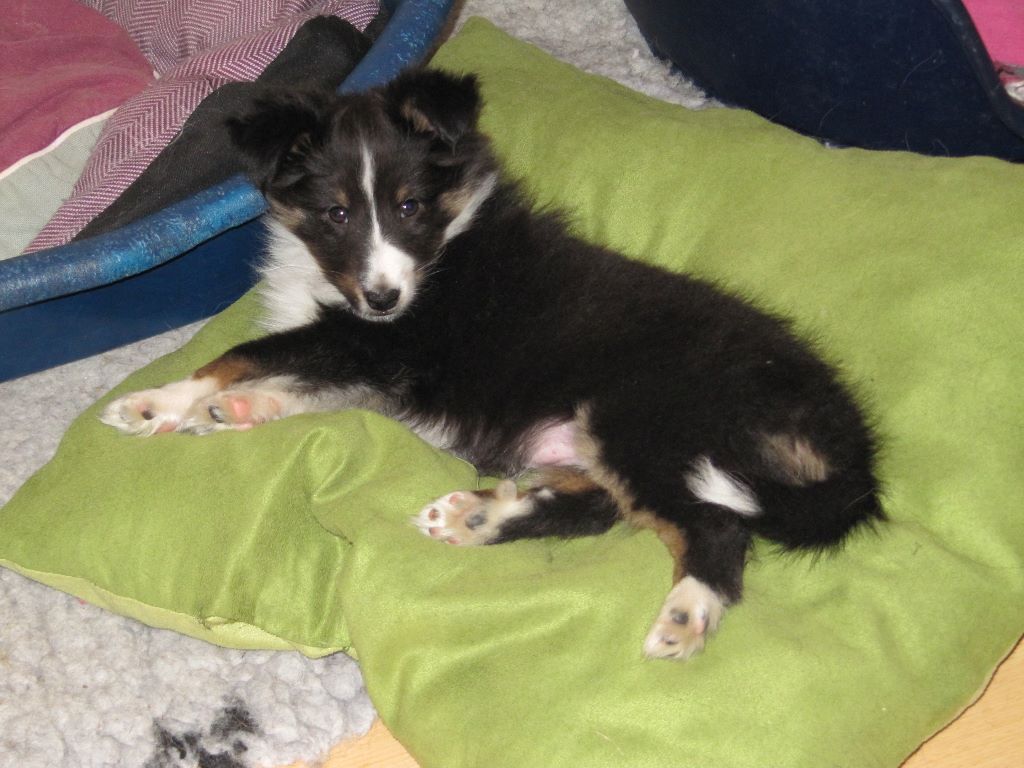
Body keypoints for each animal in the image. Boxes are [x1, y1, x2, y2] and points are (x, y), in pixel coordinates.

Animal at [101, 69, 883, 660]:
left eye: (410, 205)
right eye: (336, 213)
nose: (384, 297)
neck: (438, 250)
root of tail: (848, 438)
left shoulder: (376, 344)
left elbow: (244, 354)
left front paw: (155, 403)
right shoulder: (372, 363)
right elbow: (298, 385)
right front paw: (234, 409)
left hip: (643, 416)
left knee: (714, 529)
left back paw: (686, 617)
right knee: (597, 509)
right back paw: (478, 519)